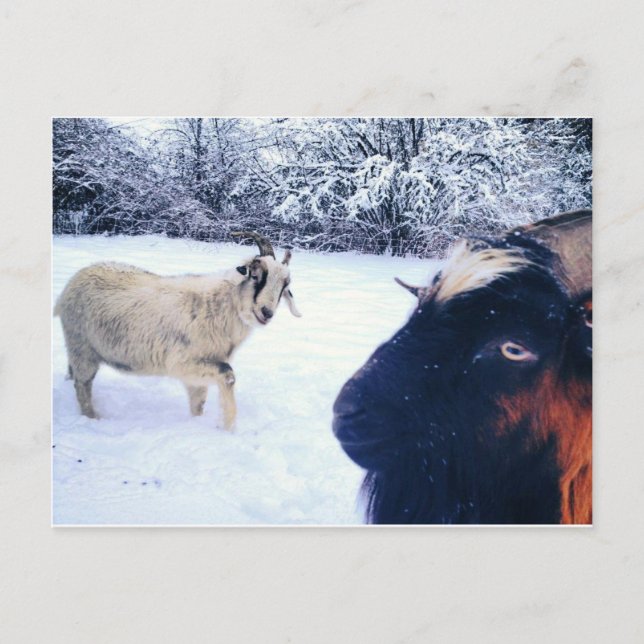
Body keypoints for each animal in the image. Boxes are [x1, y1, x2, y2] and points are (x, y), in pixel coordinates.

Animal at [54, 231, 301, 428]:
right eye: (255, 276)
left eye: (285, 286)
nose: (266, 312)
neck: (221, 304)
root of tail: (70, 284)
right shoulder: (182, 362)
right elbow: (228, 375)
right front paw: (227, 427)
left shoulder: (198, 371)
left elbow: (198, 402)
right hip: (82, 348)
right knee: (83, 386)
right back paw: (93, 418)